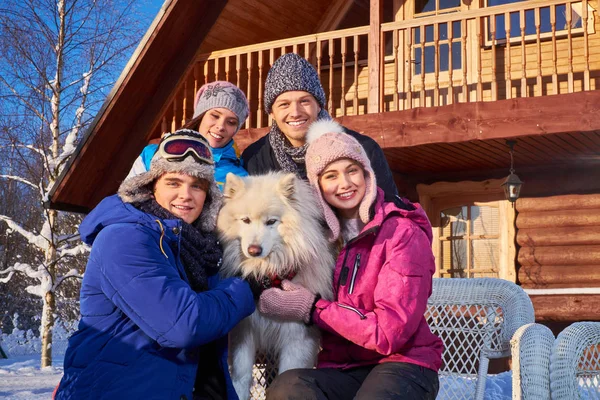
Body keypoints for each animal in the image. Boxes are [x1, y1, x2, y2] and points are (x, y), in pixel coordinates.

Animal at [217, 172, 338, 400]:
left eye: (271, 222)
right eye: (245, 220)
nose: (254, 250)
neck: (268, 276)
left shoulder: (298, 340)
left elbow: (285, 374)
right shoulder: (244, 332)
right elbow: (241, 378)